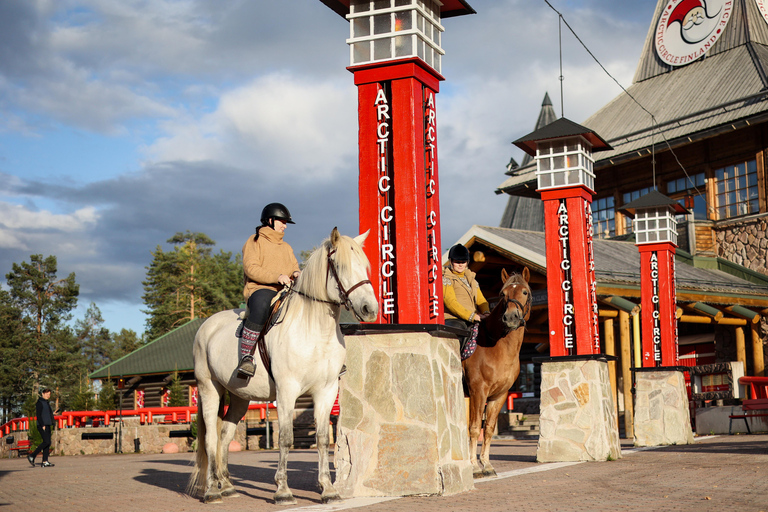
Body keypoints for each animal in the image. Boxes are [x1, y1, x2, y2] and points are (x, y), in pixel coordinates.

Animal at [188, 228, 376, 504]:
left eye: (364, 266)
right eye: (340, 266)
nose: (369, 309)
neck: (314, 331)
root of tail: (206, 326)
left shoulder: (327, 391)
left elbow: (322, 439)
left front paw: (328, 490)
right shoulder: (287, 390)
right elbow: (285, 438)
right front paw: (283, 491)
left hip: (240, 396)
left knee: (225, 435)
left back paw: (228, 485)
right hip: (208, 388)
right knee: (211, 437)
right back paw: (213, 490)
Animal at [462, 266, 528, 478]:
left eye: (524, 292)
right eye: (503, 294)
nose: (511, 318)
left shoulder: (499, 395)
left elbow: (489, 428)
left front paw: (487, 464)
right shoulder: (477, 392)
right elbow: (474, 428)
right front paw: (474, 467)